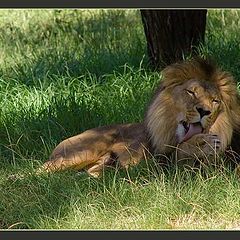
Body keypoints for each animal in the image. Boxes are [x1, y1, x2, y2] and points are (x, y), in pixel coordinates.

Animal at [37, 58, 240, 177]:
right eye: (191, 92)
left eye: (214, 101)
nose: (204, 111)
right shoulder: (150, 166)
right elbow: (177, 154)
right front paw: (201, 144)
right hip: (80, 153)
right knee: (36, 172)